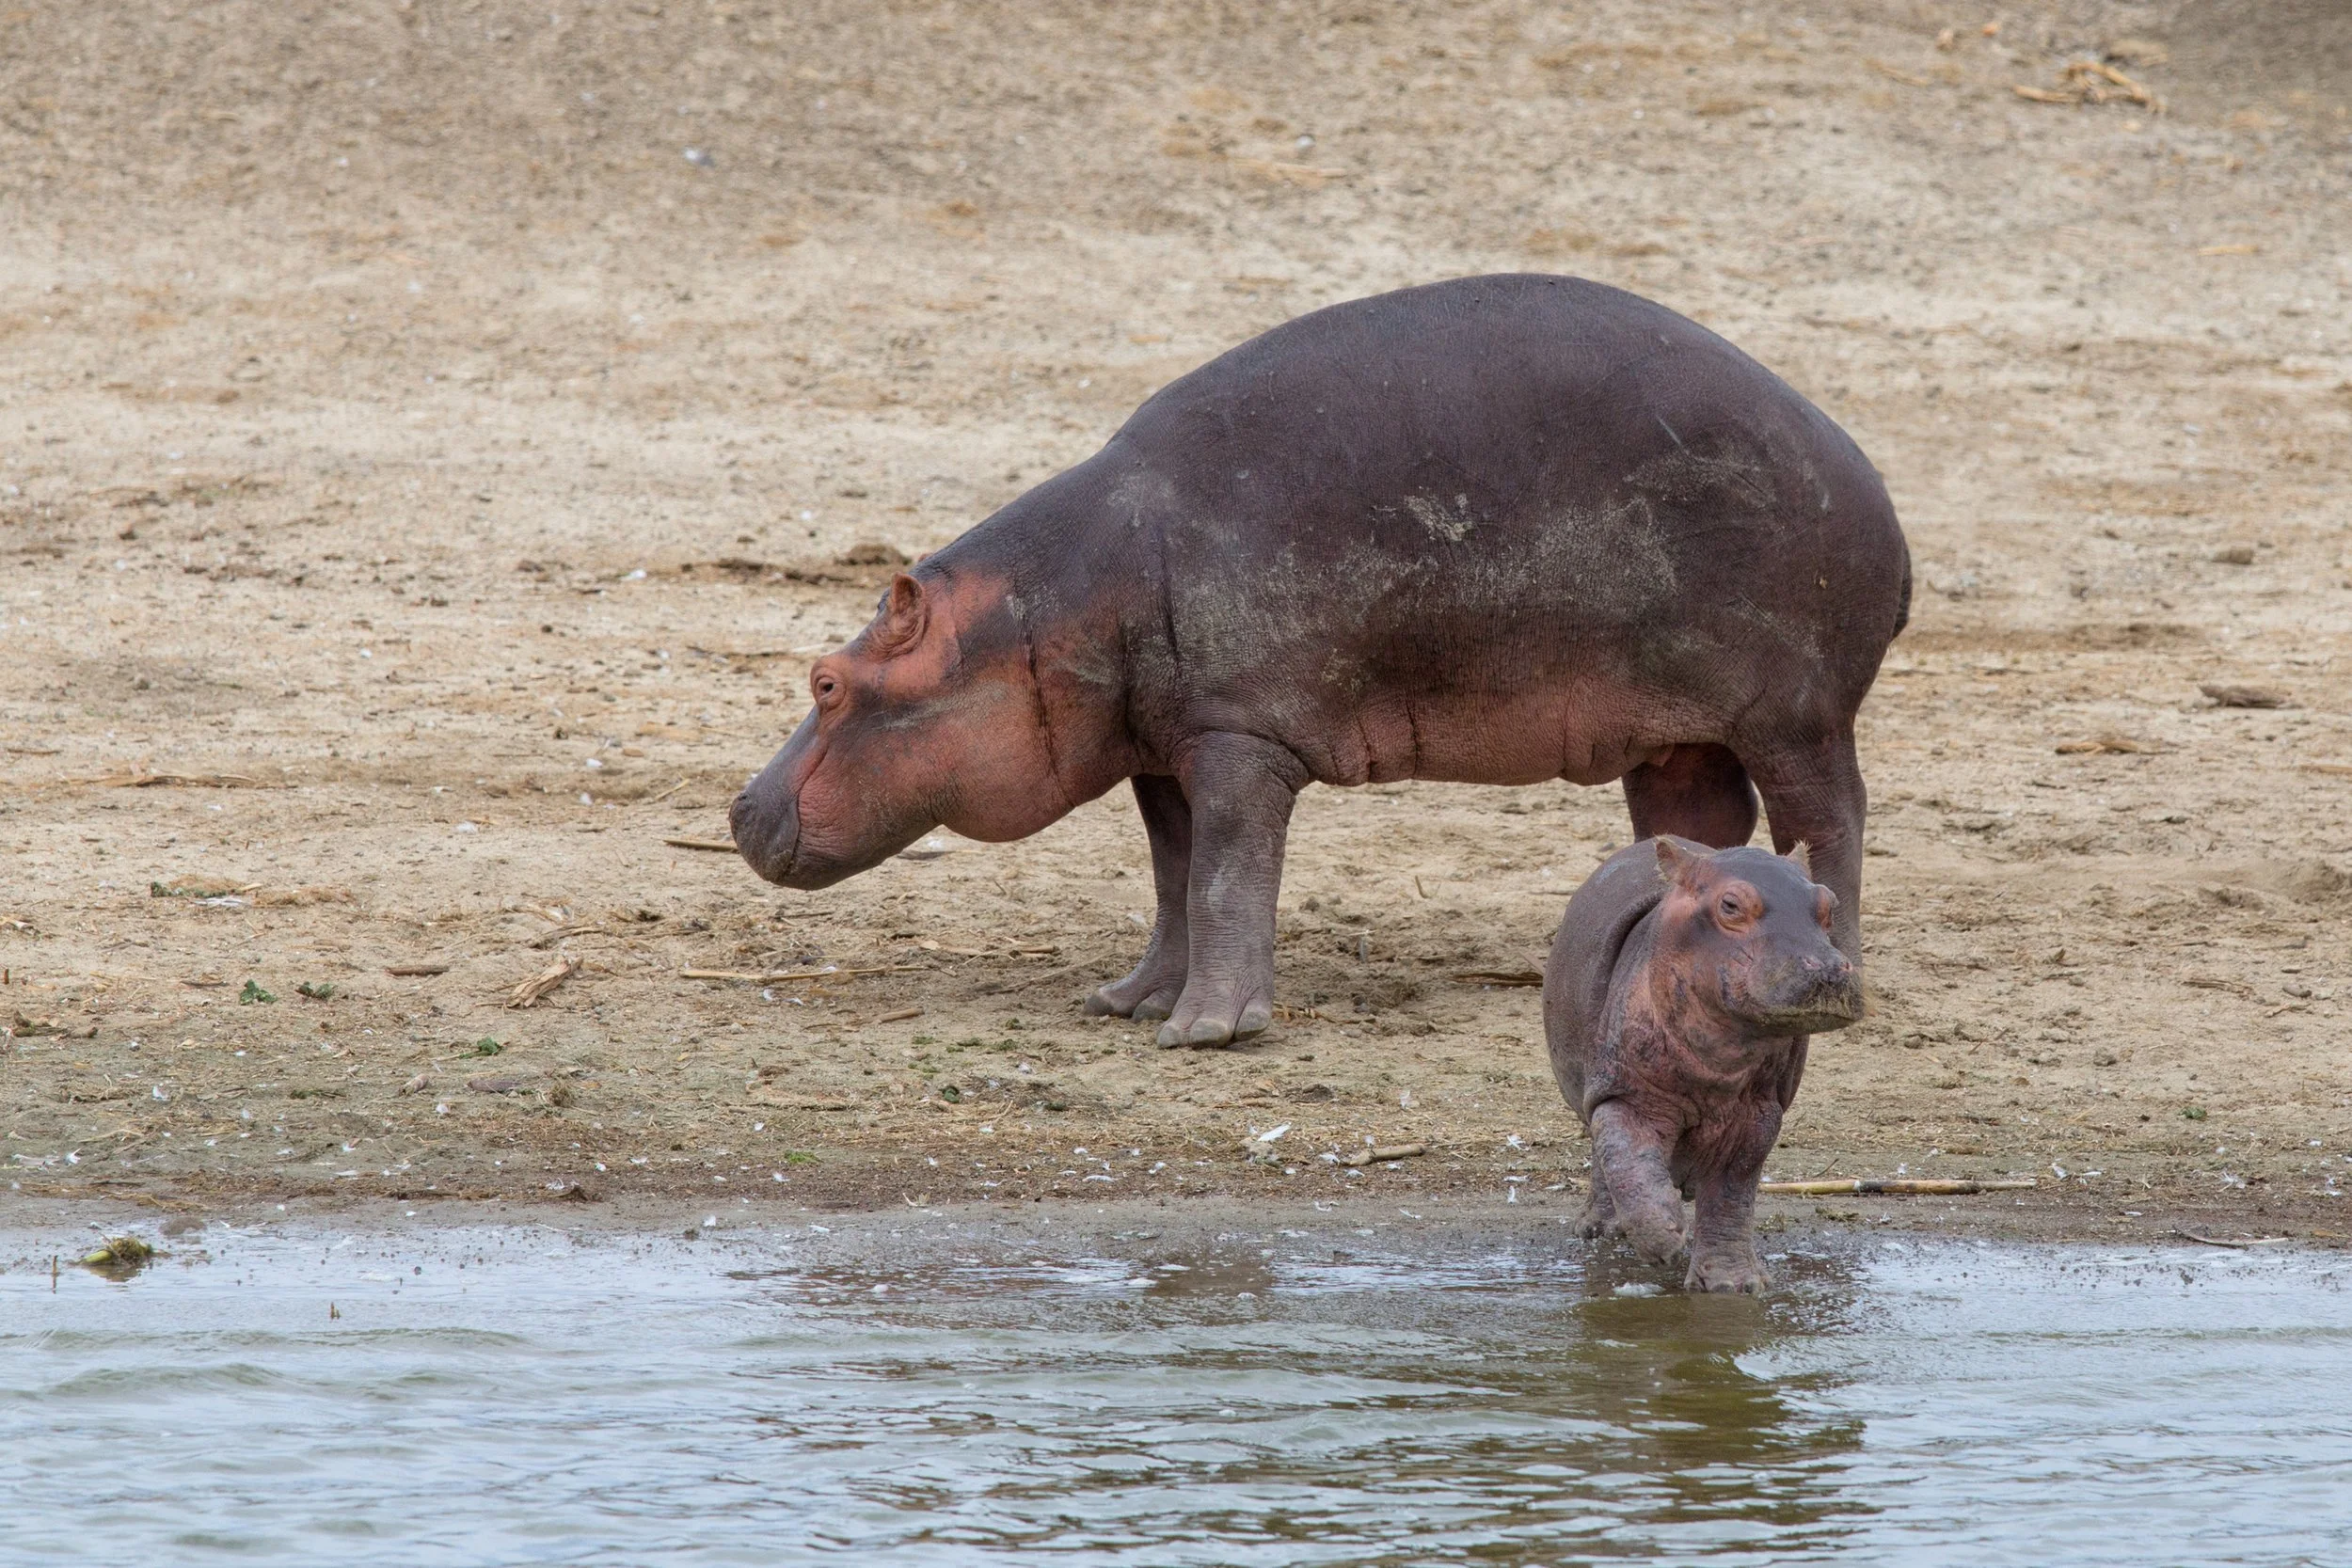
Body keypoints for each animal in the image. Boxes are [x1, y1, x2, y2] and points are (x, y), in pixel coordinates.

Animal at [732, 273, 1910, 1048]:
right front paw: (1128, 1003)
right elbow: (1173, 875)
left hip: (1794, 712)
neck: (1048, 604)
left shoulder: (1239, 739)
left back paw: (1838, 984)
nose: (739, 808)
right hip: (1676, 733)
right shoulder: (1166, 746)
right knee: (1697, 824)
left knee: (1829, 820)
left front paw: (1206, 1032)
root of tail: (1877, 487)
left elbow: (1222, 877)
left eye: (826, 681)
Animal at [1546, 836, 1862, 1292]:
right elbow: (1627, 1155)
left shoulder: (1758, 1115)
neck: (1720, 1058)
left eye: (1829, 905)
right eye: (1729, 904)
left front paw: (1732, 1286)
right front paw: (1664, 1239)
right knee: (1605, 1152)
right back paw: (1601, 1230)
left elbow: (1732, 1188)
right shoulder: (1625, 1093)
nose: (1828, 969)